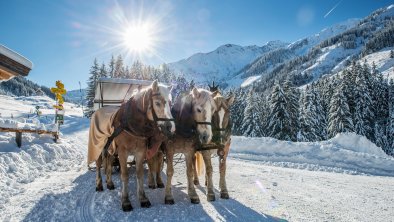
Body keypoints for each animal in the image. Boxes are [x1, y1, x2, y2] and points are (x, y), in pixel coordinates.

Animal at [89, 80, 177, 212]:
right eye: (157, 103)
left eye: (171, 103)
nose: (171, 128)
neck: (131, 124)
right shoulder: (122, 152)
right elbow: (124, 175)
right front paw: (125, 201)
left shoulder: (140, 151)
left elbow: (139, 174)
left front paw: (143, 198)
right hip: (99, 147)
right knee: (99, 165)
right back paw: (99, 185)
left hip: (110, 148)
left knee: (109, 163)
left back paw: (109, 183)